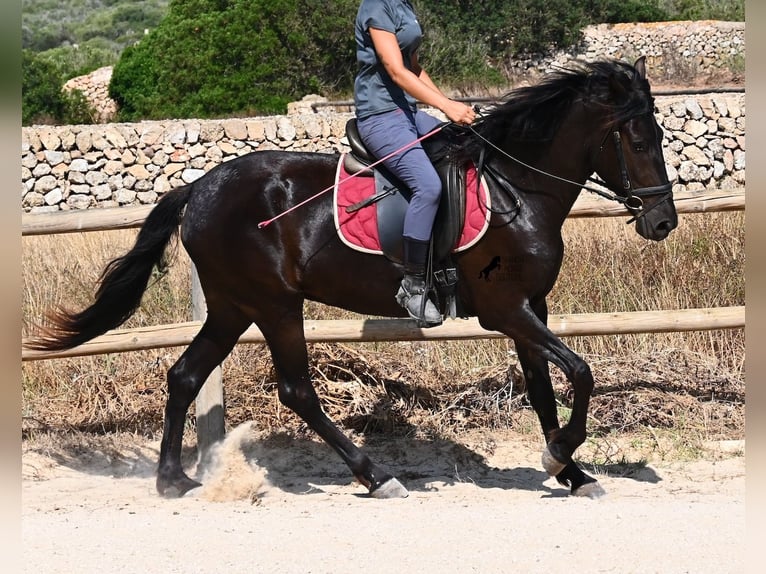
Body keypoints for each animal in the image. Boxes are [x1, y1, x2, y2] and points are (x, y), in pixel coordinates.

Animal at [25, 57, 677, 499]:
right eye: (637, 140)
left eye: (663, 137)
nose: (663, 221)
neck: (516, 188)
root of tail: (201, 188)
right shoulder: (505, 309)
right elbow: (582, 372)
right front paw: (559, 456)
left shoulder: (531, 307)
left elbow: (544, 385)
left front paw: (571, 471)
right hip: (274, 305)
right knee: (296, 390)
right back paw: (374, 475)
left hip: (232, 307)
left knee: (184, 375)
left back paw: (173, 481)